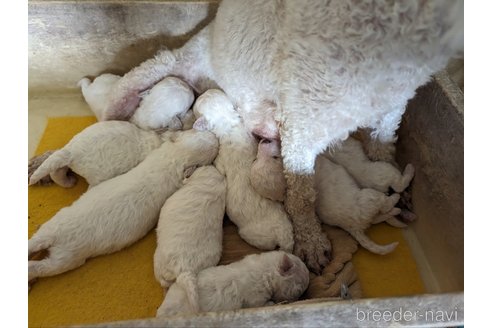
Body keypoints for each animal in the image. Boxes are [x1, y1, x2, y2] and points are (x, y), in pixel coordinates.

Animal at [27, 129, 218, 284]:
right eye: (212, 148)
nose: (216, 137)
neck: (173, 158)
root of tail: (54, 236)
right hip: (69, 257)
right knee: (41, 267)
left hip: (57, 240)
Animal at [158, 250, 310, 316]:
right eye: (299, 288)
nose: (300, 297)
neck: (265, 271)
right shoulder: (255, 299)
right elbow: (263, 304)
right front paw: (273, 303)